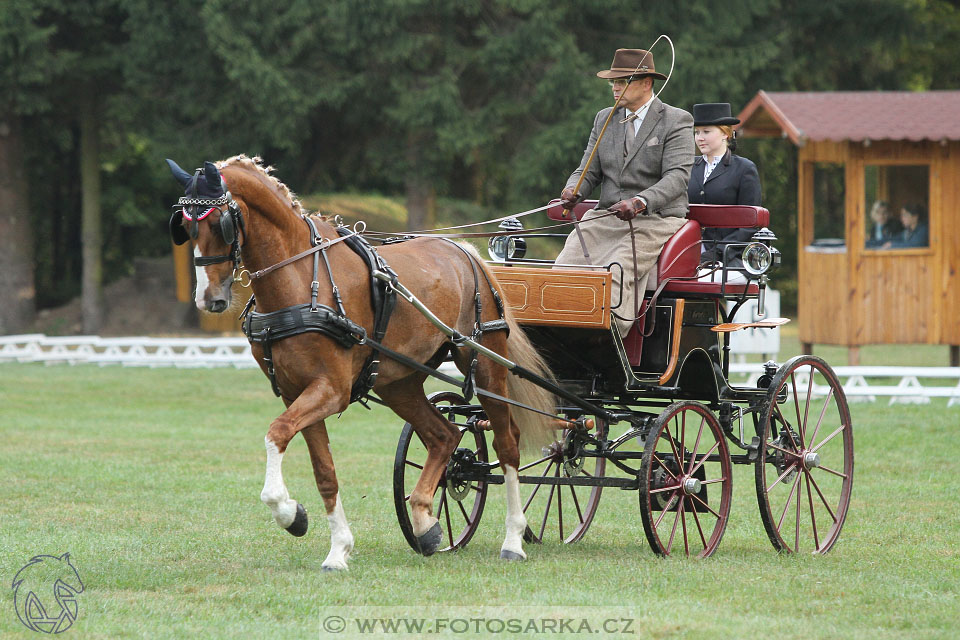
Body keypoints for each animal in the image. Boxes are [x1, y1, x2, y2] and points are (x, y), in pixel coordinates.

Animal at [166, 155, 556, 568]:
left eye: (219, 223)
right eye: (184, 228)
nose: (209, 299)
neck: (301, 279)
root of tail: (468, 253)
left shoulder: (330, 390)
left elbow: (276, 433)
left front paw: (288, 512)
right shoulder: (296, 392)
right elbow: (324, 471)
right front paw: (334, 546)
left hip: (484, 367)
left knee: (507, 444)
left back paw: (513, 539)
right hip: (399, 382)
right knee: (445, 435)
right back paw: (425, 523)